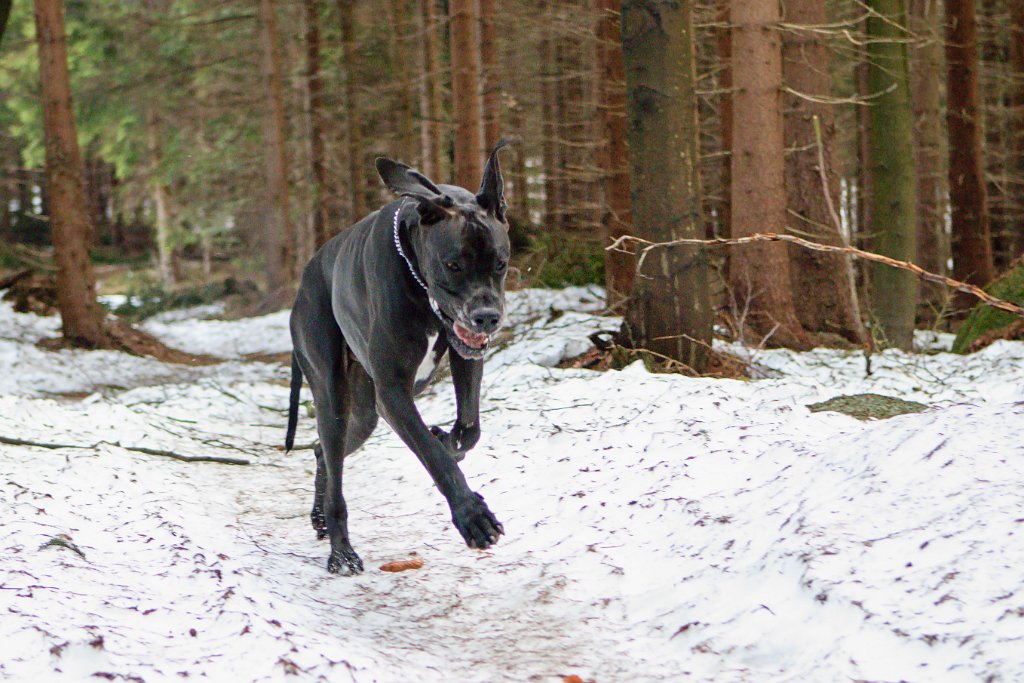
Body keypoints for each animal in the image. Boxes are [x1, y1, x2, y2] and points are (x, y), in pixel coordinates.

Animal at [286, 141, 509, 573]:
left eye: (500, 263)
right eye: (453, 264)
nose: (487, 317)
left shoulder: (465, 357)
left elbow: (468, 429)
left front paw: (447, 437)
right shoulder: (392, 393)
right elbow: (434, 456)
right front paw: (472, 515)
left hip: (363, 414)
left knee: (324, 451)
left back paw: (319, 516)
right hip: (332, 393)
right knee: (334, 463)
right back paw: (341, 551)